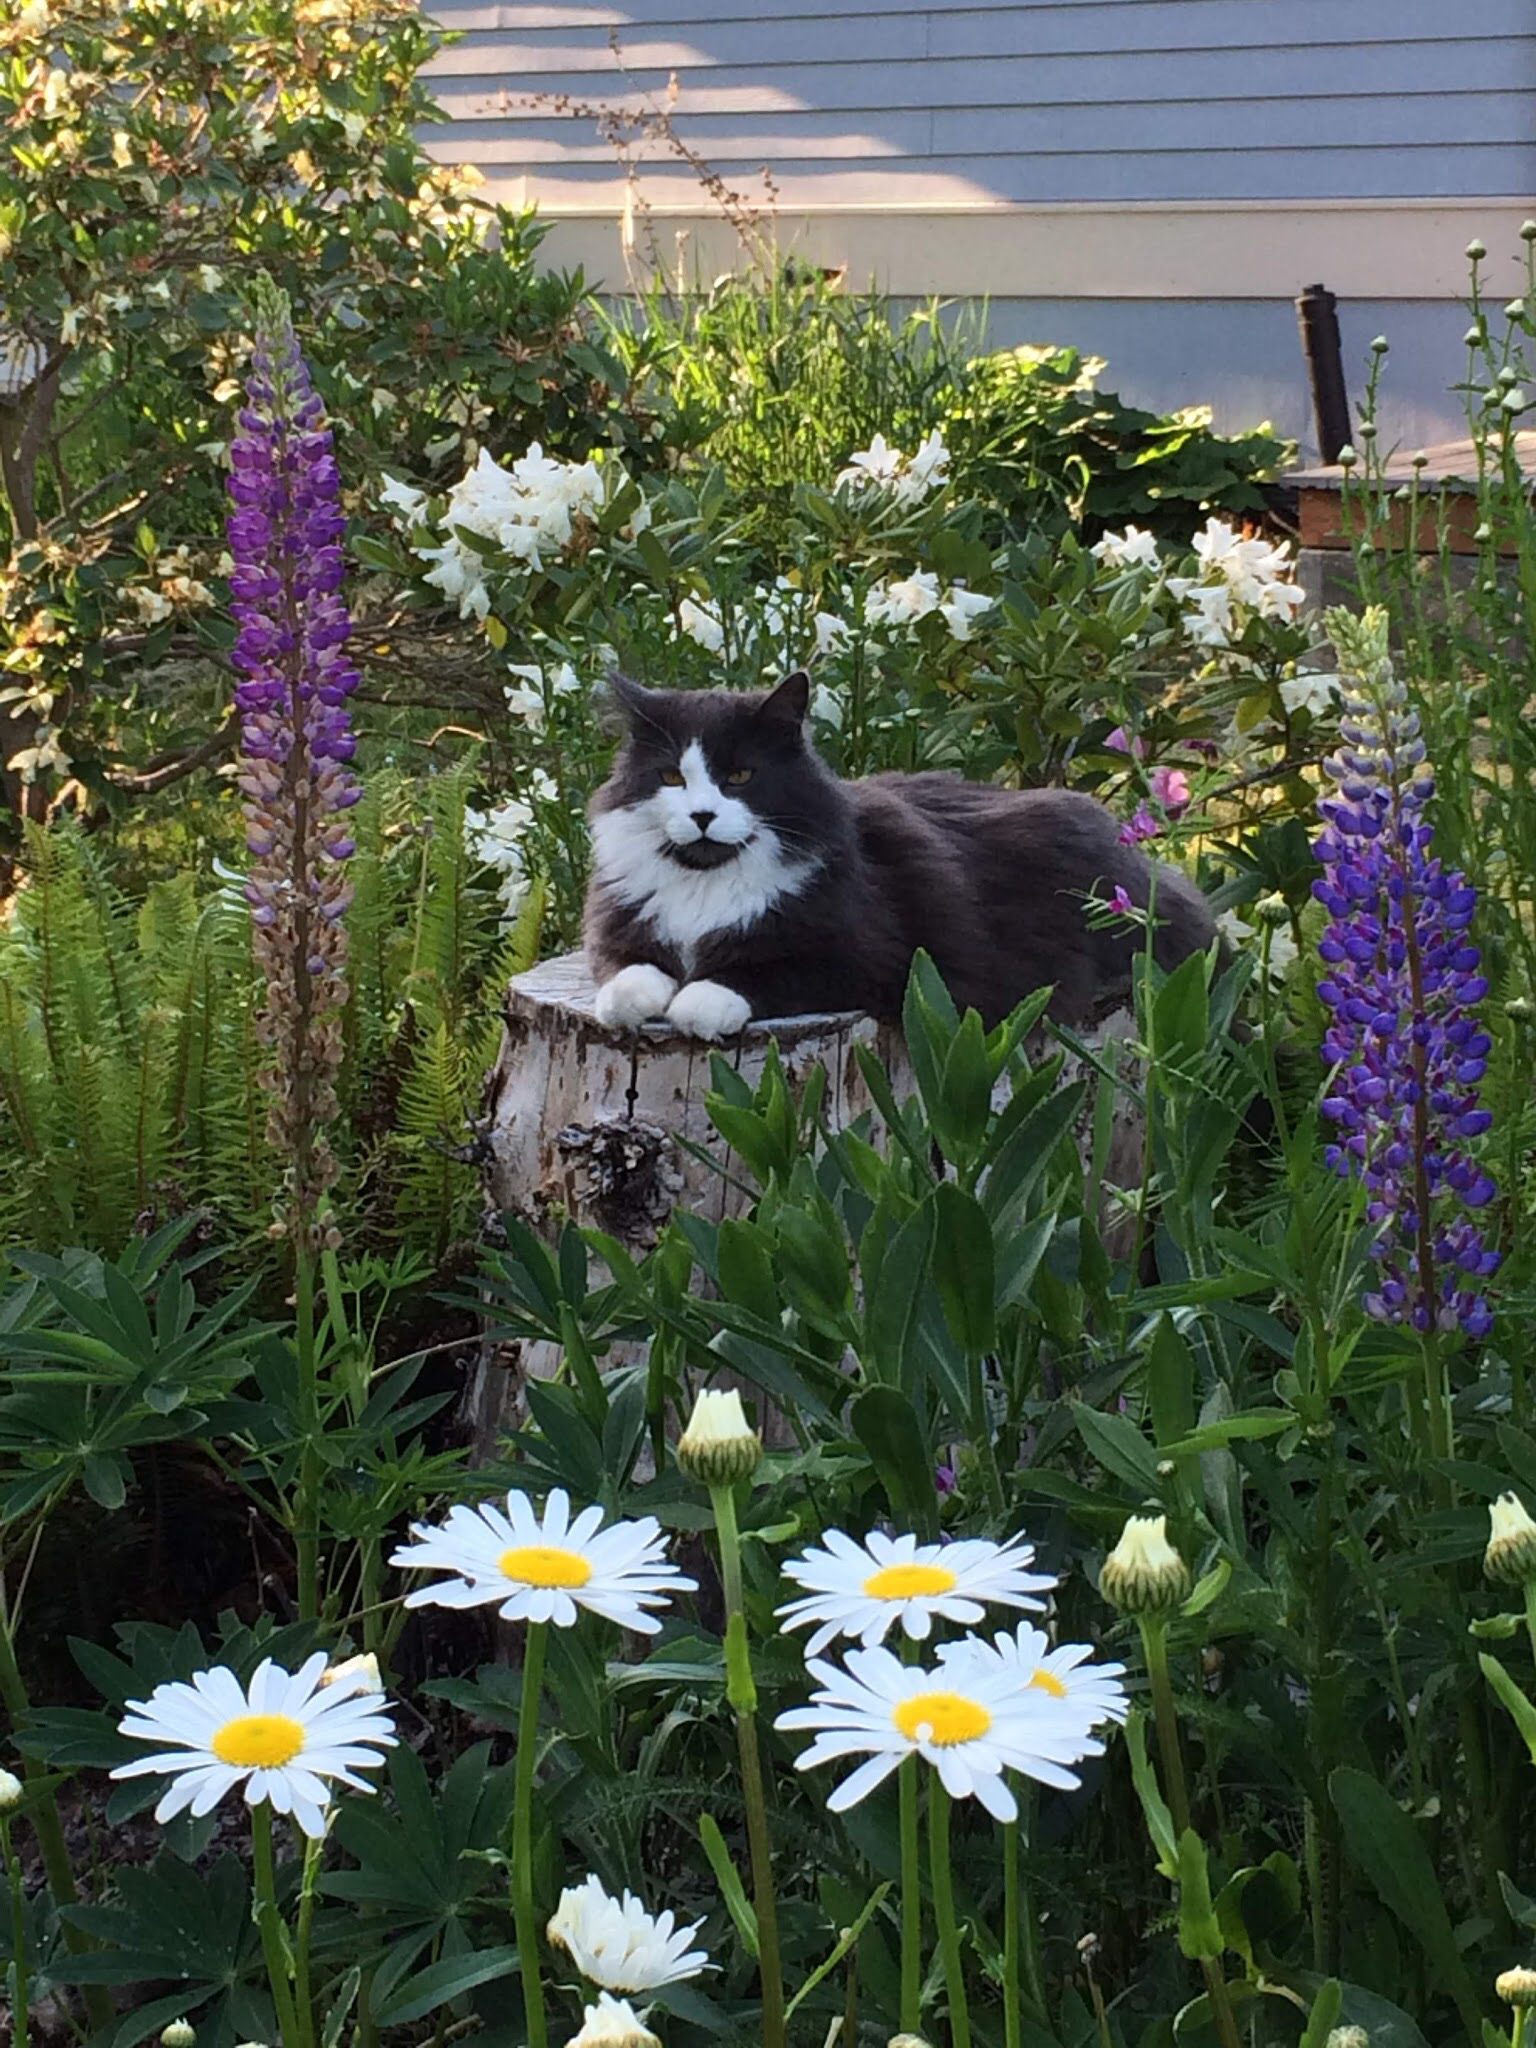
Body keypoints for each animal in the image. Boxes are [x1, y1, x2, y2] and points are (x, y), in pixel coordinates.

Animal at [581, 671, 1220, 1040]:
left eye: (740, 776)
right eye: (670, 777)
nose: (701, 816)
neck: (706, 886)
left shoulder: (871, 958)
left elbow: (762, 972)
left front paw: (699, 1004)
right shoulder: (618, 929)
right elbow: (629, 970)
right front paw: (629, 1002)